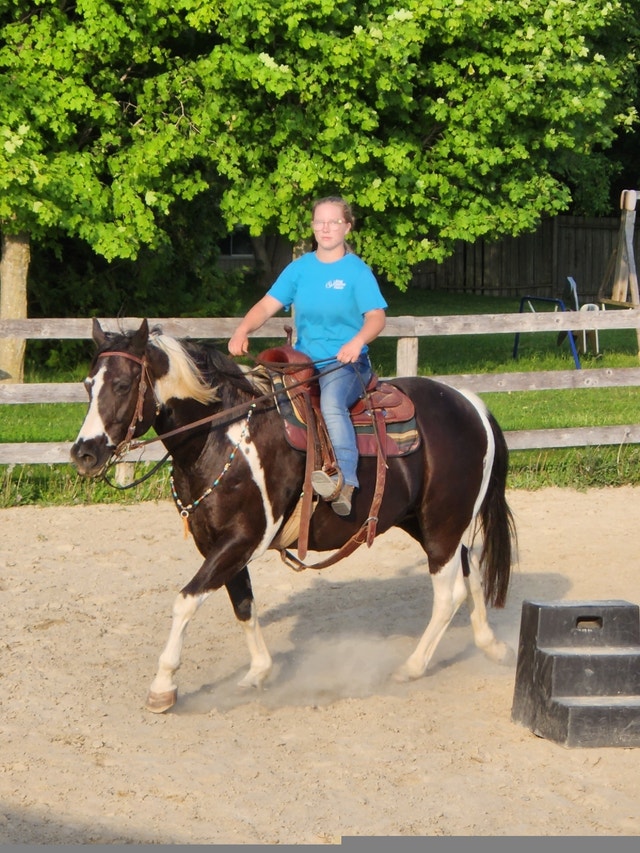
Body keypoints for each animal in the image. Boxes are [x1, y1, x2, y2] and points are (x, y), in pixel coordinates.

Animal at [70, 318, 516, 713]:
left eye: (123, 385)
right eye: (89, 386)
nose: (84, 453)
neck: (222, 437)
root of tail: (471, 404)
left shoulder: (241, 540)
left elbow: (185, 601)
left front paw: (163, 686)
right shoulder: (216, 544)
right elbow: (243, 605)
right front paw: (259, 672)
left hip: (442, 522)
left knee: (448, 593)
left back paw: (412, 667)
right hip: (428, 522)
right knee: (472, 568)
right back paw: (491, 644)